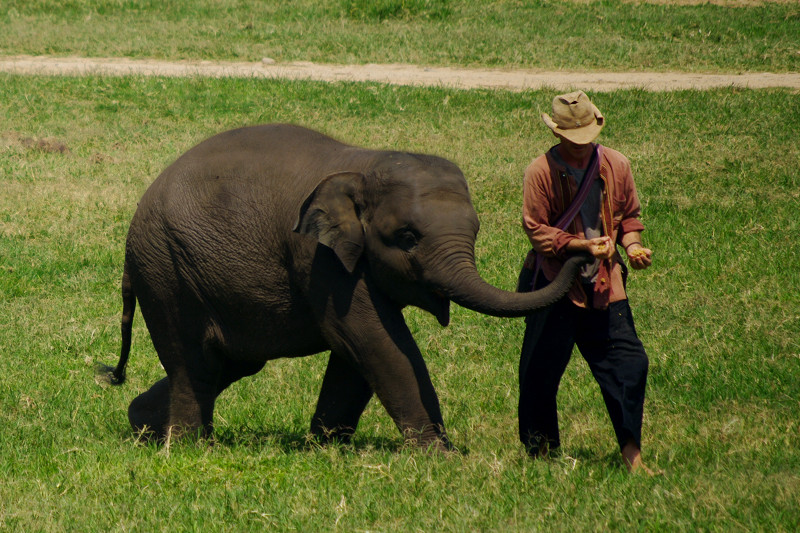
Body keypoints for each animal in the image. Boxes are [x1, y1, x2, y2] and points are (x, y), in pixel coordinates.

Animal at [101, 123, 588, 448]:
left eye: (476, 231)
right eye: (407, 237)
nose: (586, 256)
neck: (365, 165)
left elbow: (358, 353)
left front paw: (325, 448)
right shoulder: (318, 256)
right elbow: (372, 339)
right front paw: (439, 456)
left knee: (231, 362)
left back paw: (142, 426)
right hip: (166, 268)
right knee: (194, 363)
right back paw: (187, 446)